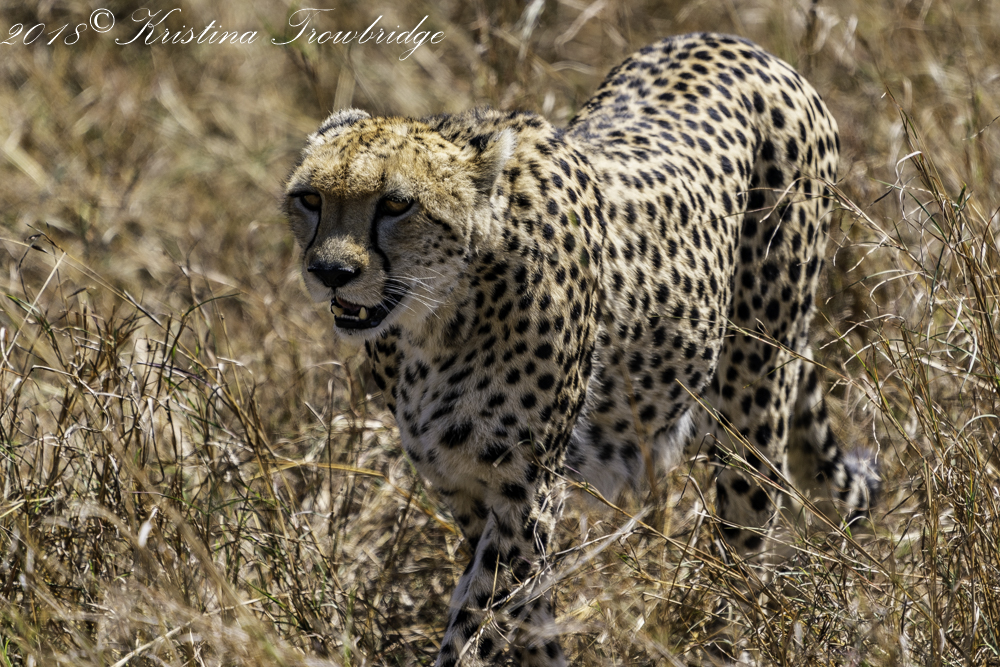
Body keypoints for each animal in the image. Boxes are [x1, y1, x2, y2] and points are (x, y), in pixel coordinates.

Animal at [283, 32, 878, 667]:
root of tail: (740, 43)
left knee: (748, 532)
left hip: (754, 394)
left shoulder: (525, 491)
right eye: (310, 198)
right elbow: (522, 610)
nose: (330, 273)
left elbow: (481, 620)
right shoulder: (465, 487)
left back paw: (733, 635)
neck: (437, 316)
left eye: (397, 205)